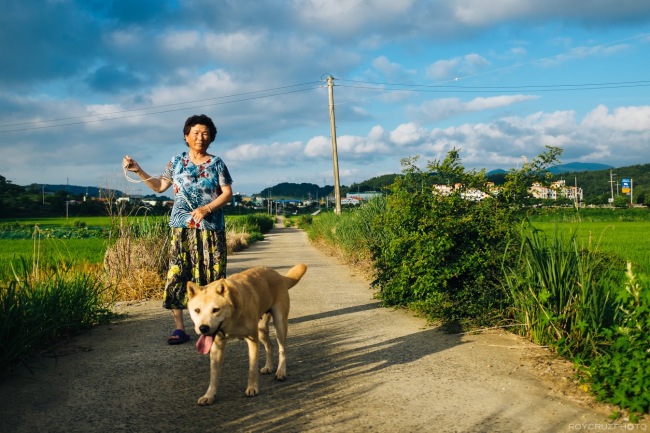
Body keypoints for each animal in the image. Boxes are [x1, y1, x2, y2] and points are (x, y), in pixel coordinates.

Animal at [186, 264, 308, 404]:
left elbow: (252, 368)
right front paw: (209, 395)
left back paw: (281, 371)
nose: (203, 328)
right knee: (270, 346)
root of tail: (278, 275)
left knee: (282, 348)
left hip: (279, 324)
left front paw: (252, 387)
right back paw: (269, 367)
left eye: (215, 310)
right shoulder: (217, 346)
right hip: (261, 330)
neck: (232, 317)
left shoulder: (252, 340)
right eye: (197, 310)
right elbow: (214, 374)